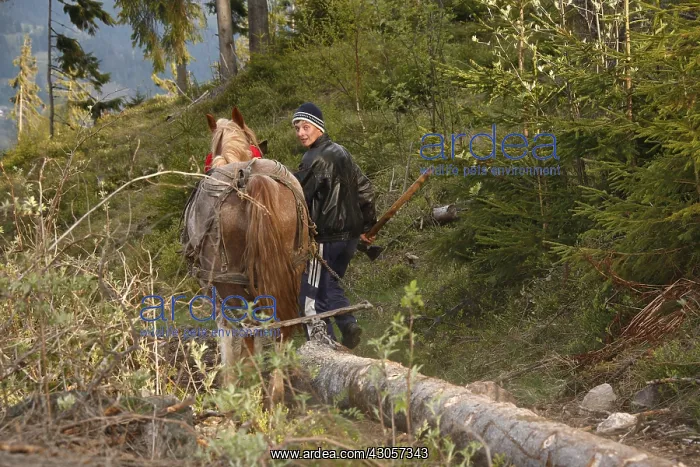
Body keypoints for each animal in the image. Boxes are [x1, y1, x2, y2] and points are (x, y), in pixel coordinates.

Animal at [181, 107, 312, 408]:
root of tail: (250, 178)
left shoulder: (216, 291)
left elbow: (227, 335)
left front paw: (230, 382)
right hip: (294, 269)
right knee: (282, 326)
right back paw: (277, 390)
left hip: (230, 282)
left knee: (251, 330)